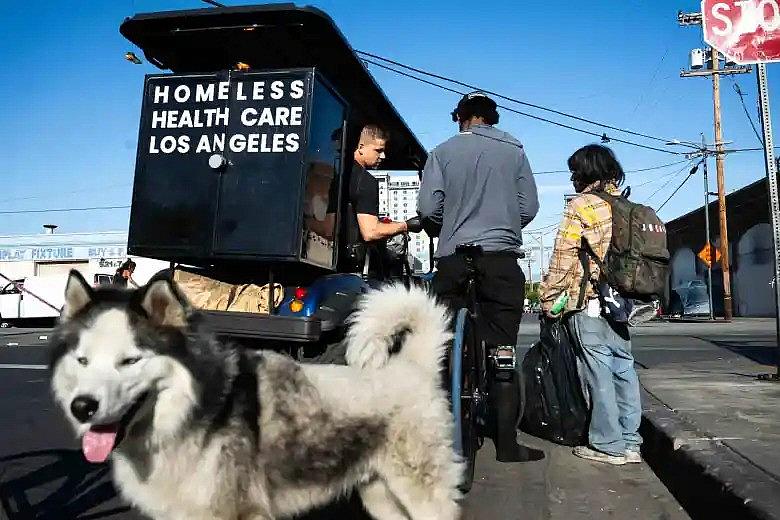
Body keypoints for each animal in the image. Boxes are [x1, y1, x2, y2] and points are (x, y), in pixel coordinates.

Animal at [48, 272, 464, 520]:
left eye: (130, 360)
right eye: (82, 360)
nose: (82, 407)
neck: (195, 413)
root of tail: (412, 365)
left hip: (422, 495)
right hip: (379, 495)